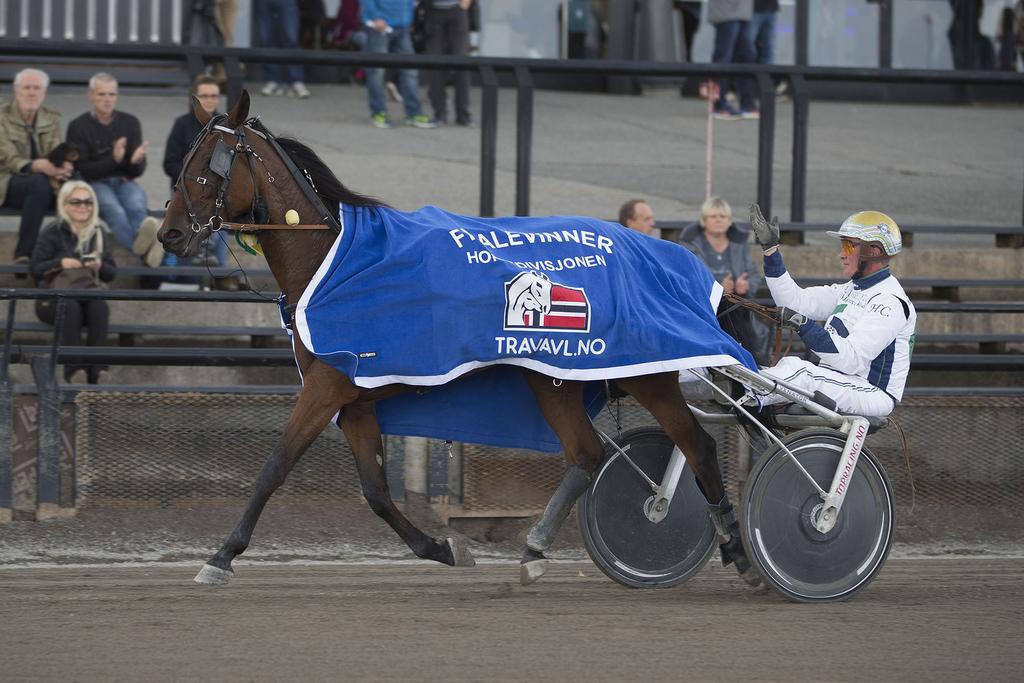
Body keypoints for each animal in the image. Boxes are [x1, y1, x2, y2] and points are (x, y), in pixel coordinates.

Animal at [155, 90, 757, 589]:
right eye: (182, 163)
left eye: (208, 167)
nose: (170, 233)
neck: (333, 261)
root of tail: (676, 260)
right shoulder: (356, 398)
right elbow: (376, 492)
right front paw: (443, 548)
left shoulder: (326, 386)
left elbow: (274, 467)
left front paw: (222, 555)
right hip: (556, 379)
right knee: (588, 454)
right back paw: (536, 549)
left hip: (645, 373)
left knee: (696, 446)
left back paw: (737, 551)